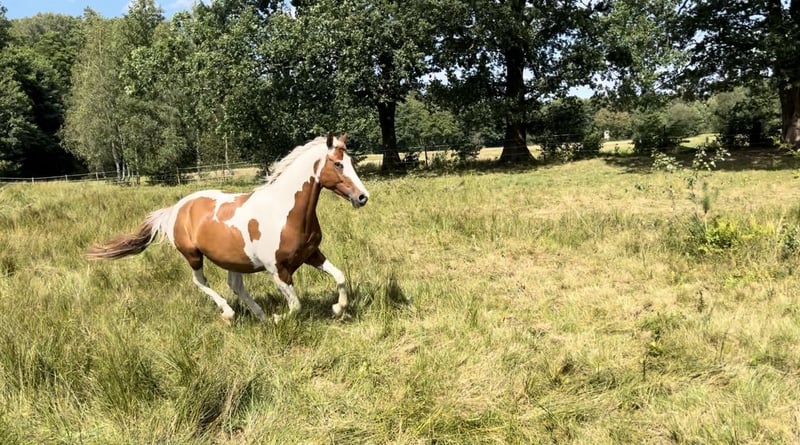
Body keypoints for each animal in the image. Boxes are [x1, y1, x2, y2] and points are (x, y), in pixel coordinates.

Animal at [87, 133, 369, 322]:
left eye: (350, 161)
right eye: (337, 164)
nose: (362, 197)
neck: (284, 211)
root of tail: (176, 209)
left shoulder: (312, 254)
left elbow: (340, 277)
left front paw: (337, 309)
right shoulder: (277, 270)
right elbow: (296, 306)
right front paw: (279, 318)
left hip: (234, 259)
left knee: (235, 285)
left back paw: (259, 315)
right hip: (193, 256)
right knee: (200, 282)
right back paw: (229, 313)